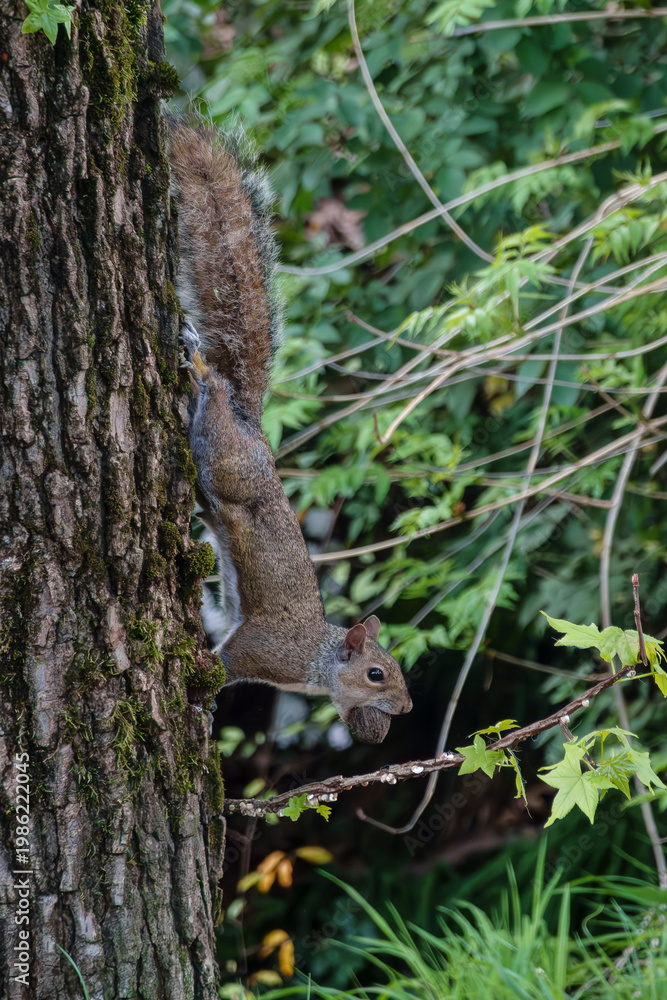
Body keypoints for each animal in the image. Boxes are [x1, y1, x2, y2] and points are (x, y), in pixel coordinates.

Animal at [168, 115, 412, 744]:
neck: (318, 664)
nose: (404, 709)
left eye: (398, 668)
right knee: (215, 399)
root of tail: (251, 426)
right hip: (226, 459)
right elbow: (223, 666)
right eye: (377, 673)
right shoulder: (262, 650)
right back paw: (201, 369)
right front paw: (203, 701)